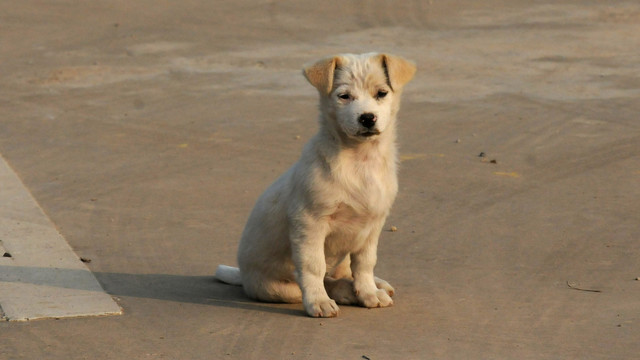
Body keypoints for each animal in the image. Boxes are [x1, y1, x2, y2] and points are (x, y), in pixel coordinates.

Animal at [215, 52, 416, 316]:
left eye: (381, 93)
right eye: (344, 96)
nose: (367, 118)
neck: (359, 161)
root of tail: (243, 275)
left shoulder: (372, 225)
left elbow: (364, 263)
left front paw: (369, 292)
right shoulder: (309, 223)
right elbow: (314, 266)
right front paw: (318, 301)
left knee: (344, 272)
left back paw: (375, 285)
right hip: (278, 288)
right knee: (325, 281)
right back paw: (340, 292)